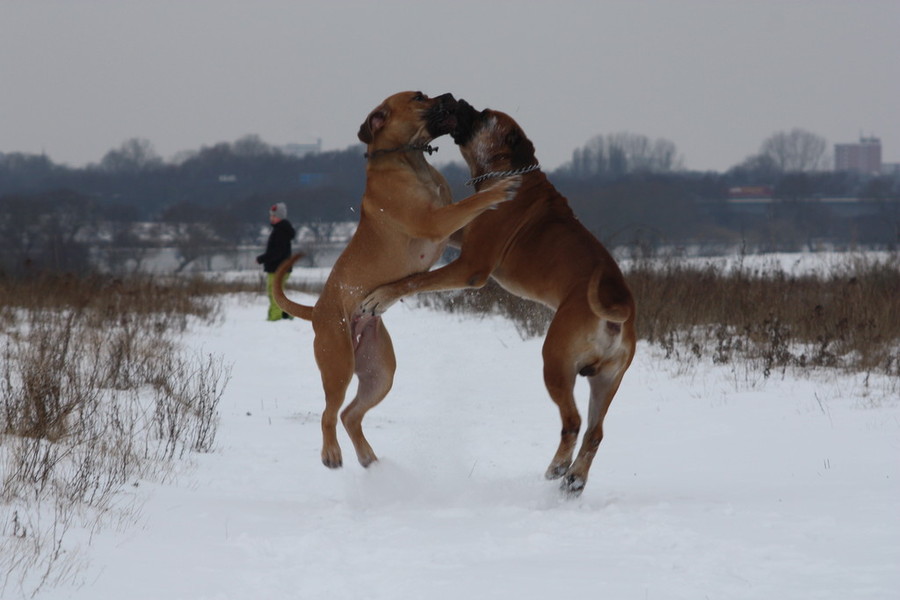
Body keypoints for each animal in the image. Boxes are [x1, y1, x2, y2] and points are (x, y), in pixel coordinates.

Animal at [272, 91, 517, 471]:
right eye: (418, 97)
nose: (450, 95)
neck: (409, 160)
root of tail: (316, 311)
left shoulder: (449, 228)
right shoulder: (434, 220)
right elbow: (471, 202)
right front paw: (498, 189)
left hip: (379, 372)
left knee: (350, 414)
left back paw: (369, 458)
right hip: (338, 361)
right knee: (329, 413)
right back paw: (331, 453)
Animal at [360, 100, 636, 495]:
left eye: (485, 116)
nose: (460, 101)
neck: (508, 170)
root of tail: (619, 306)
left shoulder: (470, 266)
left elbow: (414, 281)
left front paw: (381, 295)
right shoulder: (460, 232)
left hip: (556, 363)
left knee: (572, 421)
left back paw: (558, 467)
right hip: (607, 381)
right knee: (595, 432)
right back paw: (575, 479)